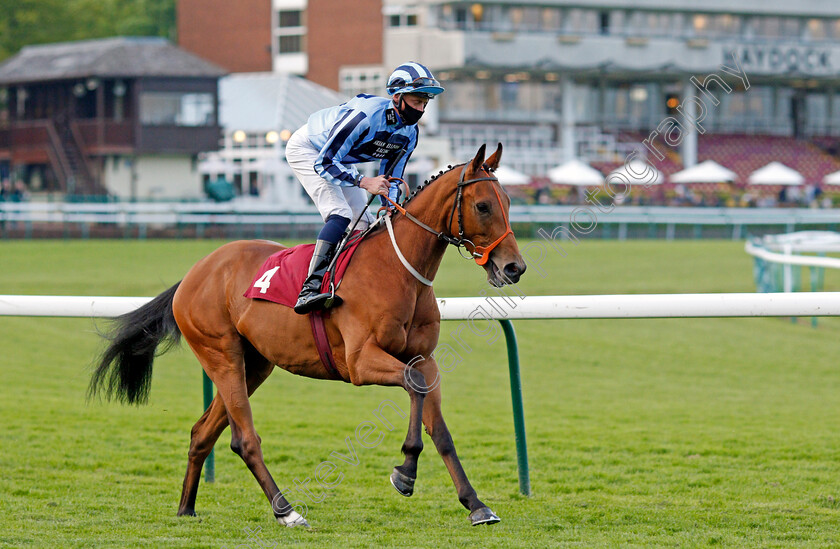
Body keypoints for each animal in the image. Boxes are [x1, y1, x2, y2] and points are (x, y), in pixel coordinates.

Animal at [90, 144, 524, 528]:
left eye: (507, 201)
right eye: (483, 206)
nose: (514, 267)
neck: (398, 271)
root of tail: (194, 274)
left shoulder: (425, 358)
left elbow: (440, 427)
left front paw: (476, 505)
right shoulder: (360, 362)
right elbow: (412, 385)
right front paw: (405, 470)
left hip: (254, 364)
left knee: (203, 432)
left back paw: (186, 508)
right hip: (221, 354)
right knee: (243, 438)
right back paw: (287, 511)